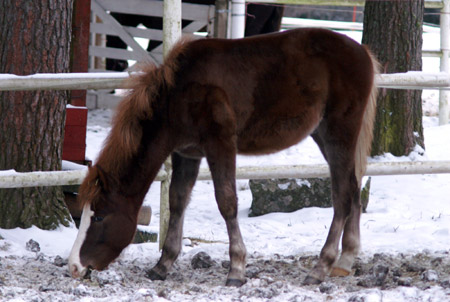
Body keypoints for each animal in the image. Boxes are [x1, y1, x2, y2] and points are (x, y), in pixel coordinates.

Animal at [68, 27, 378, 286]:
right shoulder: (187, 153)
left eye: (98, 216)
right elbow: (177, 201)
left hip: (339, 133)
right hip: (323, 135)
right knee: (353, 188)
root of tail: (363, 52)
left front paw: (237, 269)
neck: (180, 92)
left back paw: (321, 267)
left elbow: (226, 202)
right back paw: (346, 260)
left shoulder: (220, 145)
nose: (74, 266)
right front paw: (163, 265)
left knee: (341, 195)